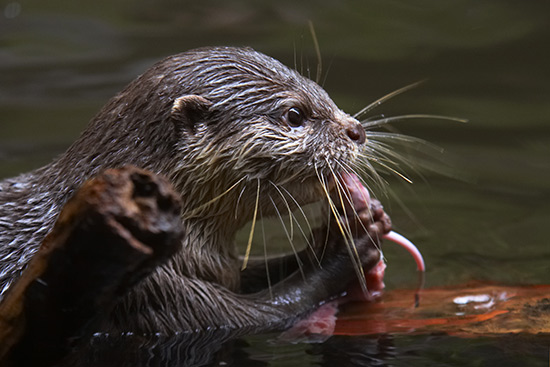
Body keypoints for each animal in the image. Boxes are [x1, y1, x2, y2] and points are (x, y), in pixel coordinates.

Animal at [1, 46, 392, 334]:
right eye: (294, 114)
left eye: (323, 93)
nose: (357, 130)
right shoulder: (151, 286)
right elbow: (261, 312)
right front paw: (345, 247)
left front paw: (354, 224)